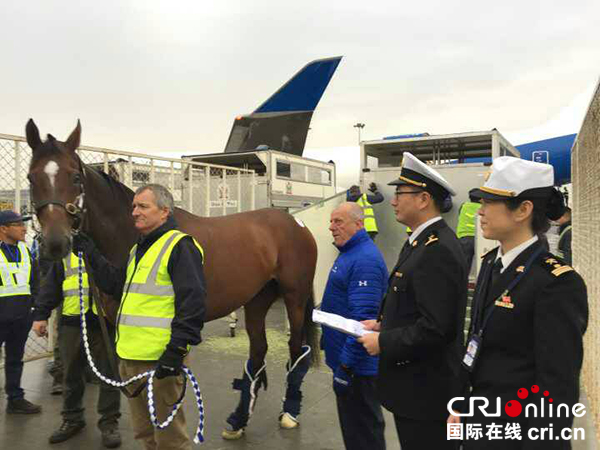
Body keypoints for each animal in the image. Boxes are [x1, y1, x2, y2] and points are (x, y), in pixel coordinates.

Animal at [24, 118, 318, 436]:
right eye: (31, 178)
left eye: (76, 177)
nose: (56, 243)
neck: (133, 234)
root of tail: (295, 222)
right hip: (256, 299)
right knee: (258, 352)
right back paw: (238, 421)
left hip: (295, 298)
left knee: (295, 350)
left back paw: (289, 413)